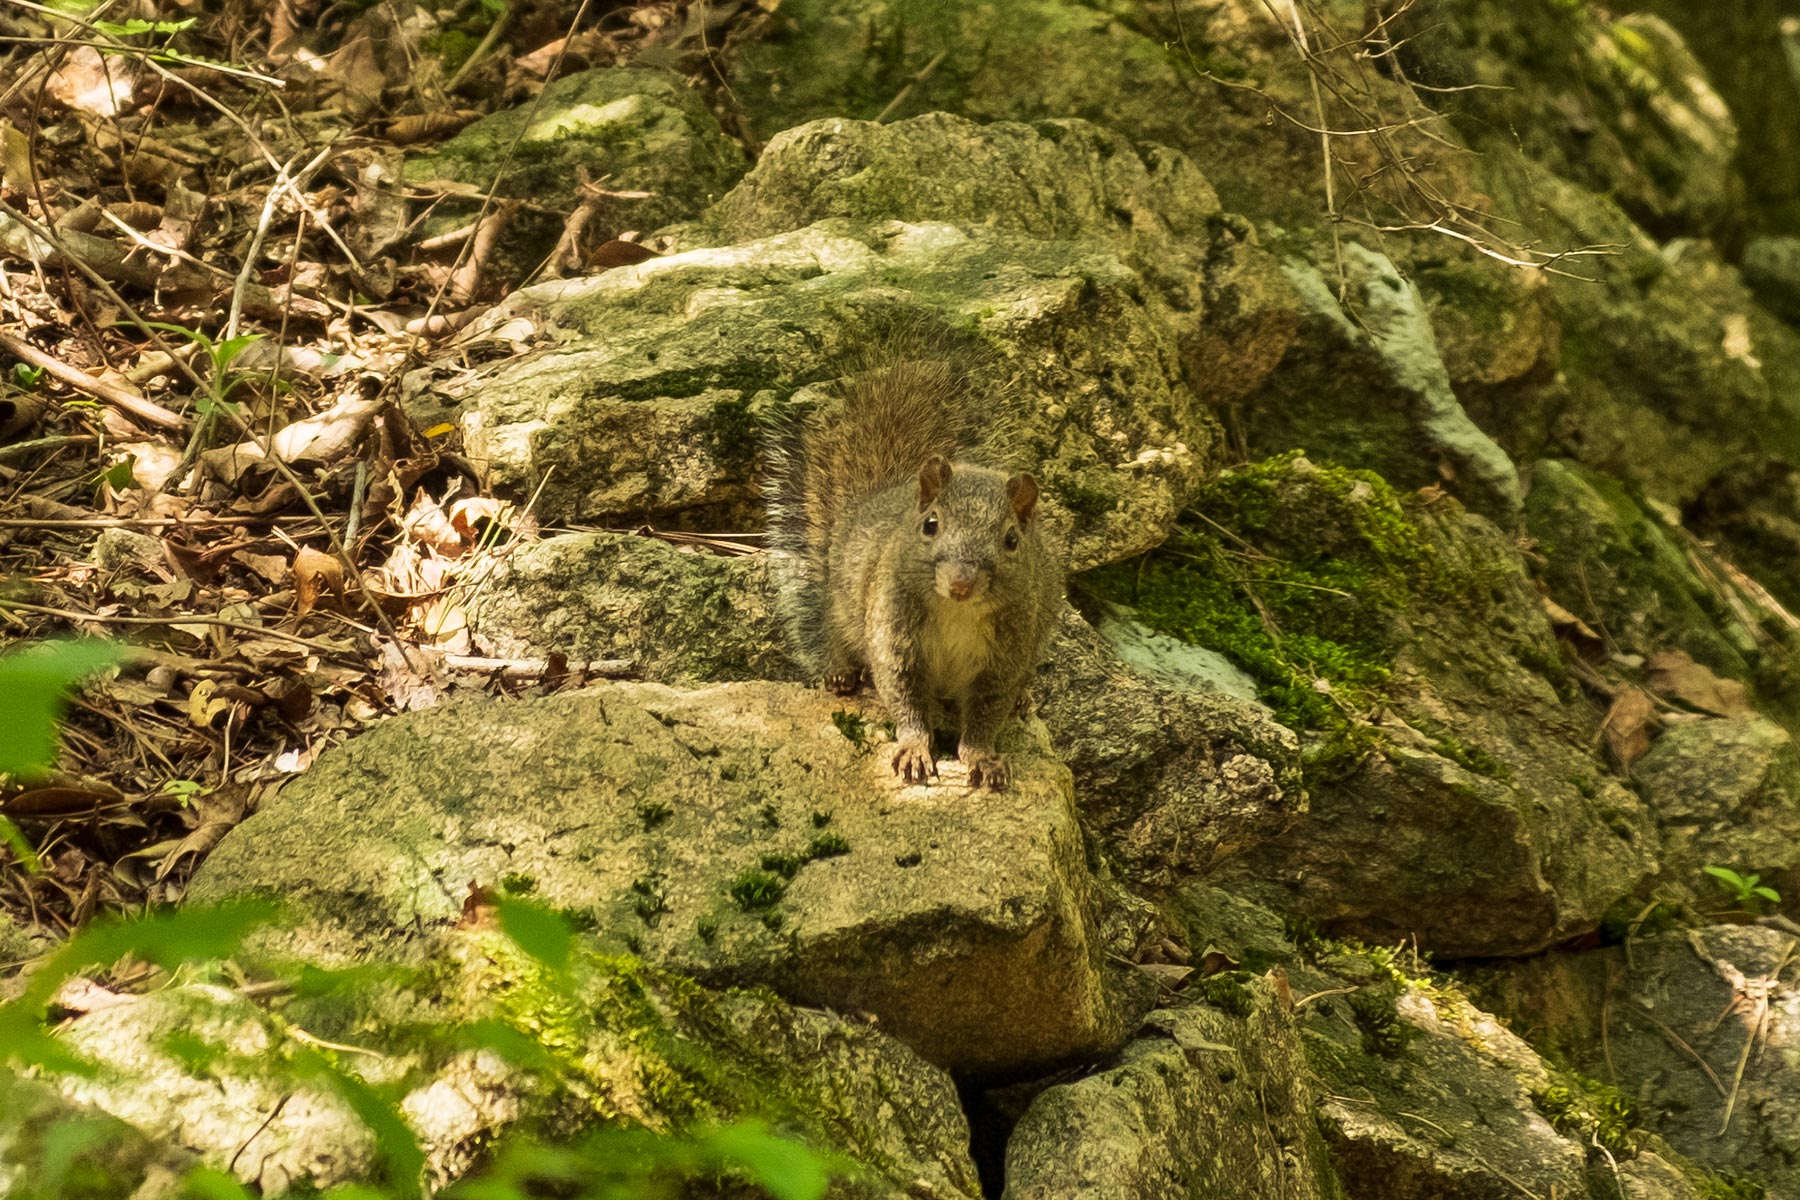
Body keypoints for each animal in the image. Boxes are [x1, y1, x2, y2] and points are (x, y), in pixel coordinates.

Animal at [766, 338, 1058, 791]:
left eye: (1011, 540)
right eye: (930, 525)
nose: (960, 584)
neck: (957, 611)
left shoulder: (1005, 656)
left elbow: (986, 716)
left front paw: (983, 758)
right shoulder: (894, 634)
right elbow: (904, 698)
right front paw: (914, 750)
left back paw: (1023, 700)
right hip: (845, 603)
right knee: (834, 633)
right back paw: (840, 674)